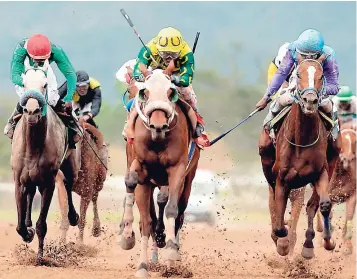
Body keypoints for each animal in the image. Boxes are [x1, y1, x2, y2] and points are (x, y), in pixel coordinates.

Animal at [117, 62, 199, 278]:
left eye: (171, 92)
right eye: (144, 92)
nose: (158, 125)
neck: (157, 140)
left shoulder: (177, 170)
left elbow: (171, 208)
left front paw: (170, 252)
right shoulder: (141, 169)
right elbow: (145, 220)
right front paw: (140, 262)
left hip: (188, 179)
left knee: (179, 212)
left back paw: (172, 250)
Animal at [258, 54, 340, 260]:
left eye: (321, 75)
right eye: (298, 74)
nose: (310, 100)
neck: (302, 140)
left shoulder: (320, 173)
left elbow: (323, 204)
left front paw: (325, 241)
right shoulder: (282, 179)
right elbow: (280, 223)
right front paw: (282, 243)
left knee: (312, 206)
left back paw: (310, 245)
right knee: (274, 203)